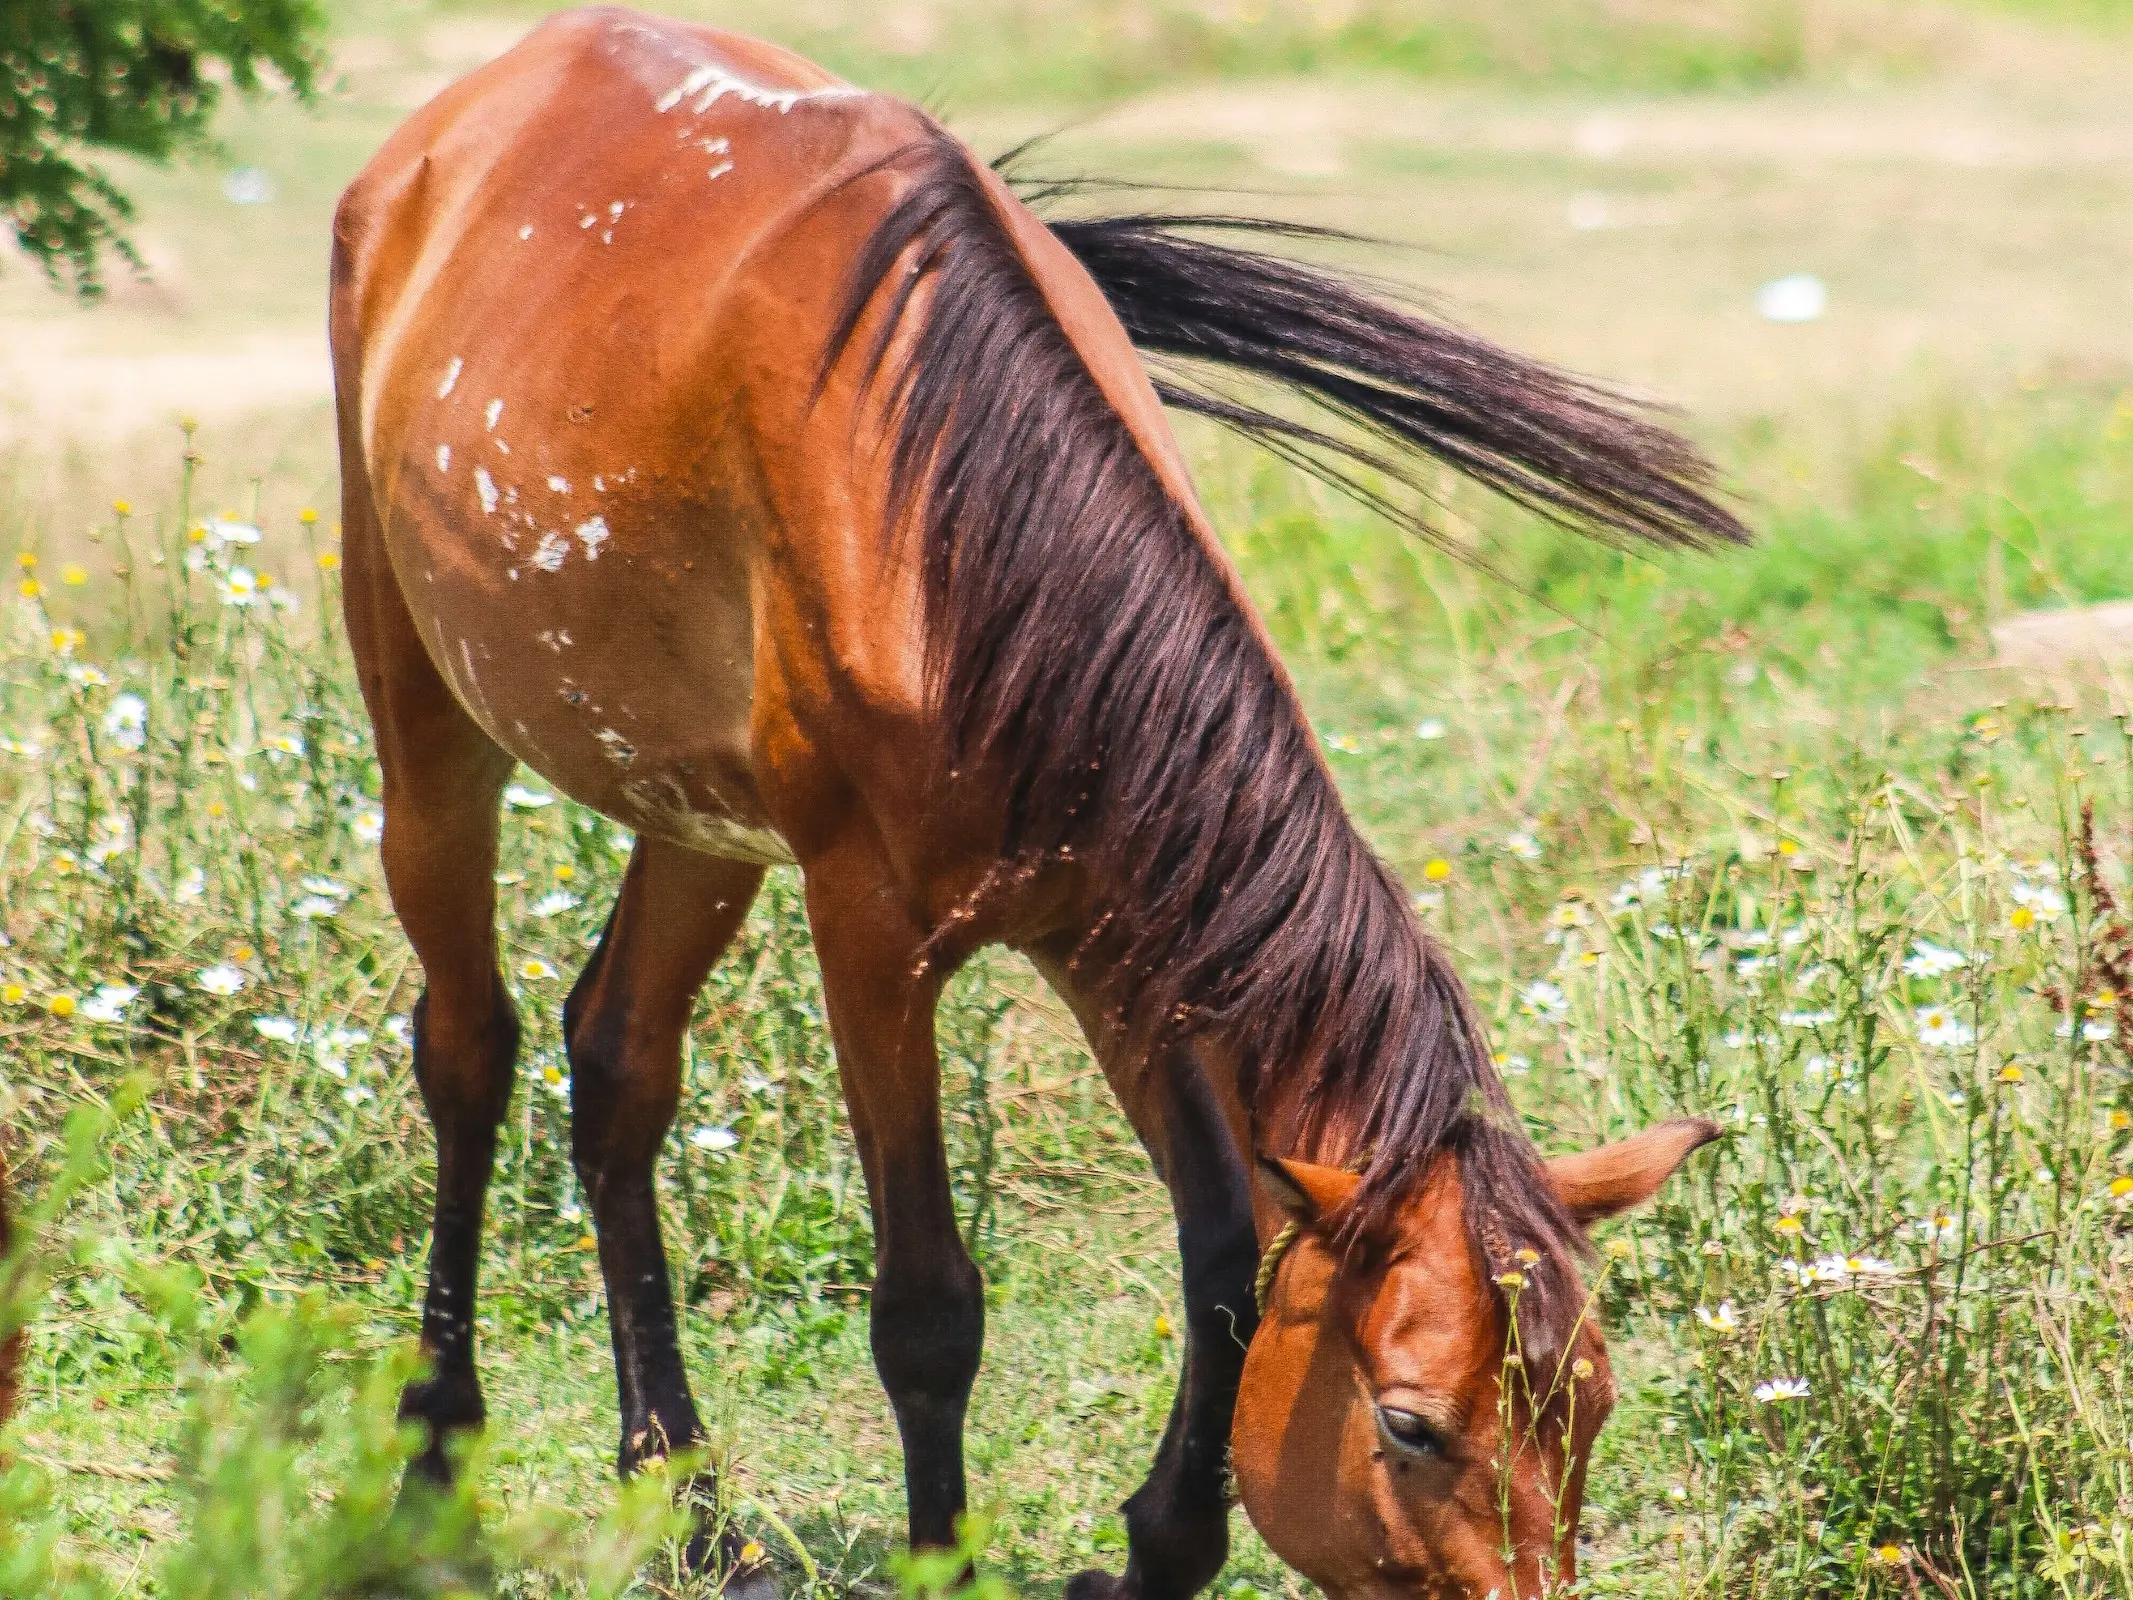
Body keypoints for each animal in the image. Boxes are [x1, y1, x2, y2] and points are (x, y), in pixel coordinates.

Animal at [328, 9, 1731, 1595]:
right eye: (1412, 1424)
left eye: (1590, 1405)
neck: (956, 545)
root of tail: (457, 122)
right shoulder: (870, 936)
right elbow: (929, 1307)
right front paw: (951, 1551)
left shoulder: (1131, 941)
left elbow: (1223, 1252)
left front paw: (1159, 1547)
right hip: (427, 722)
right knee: (470, 1052)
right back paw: (433, 1464)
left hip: (695, 816)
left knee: (618, 1060)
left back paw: (684, 1500)